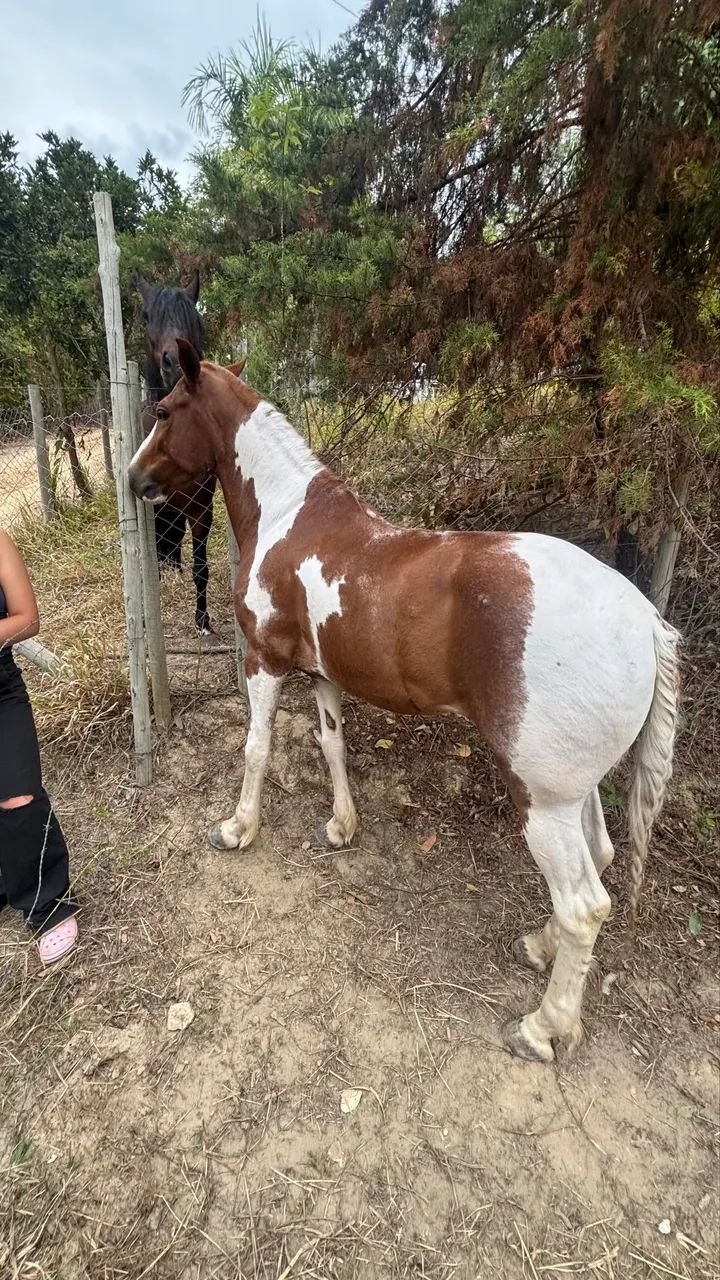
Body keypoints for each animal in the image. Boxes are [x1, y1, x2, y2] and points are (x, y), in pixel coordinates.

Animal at [128, 339, 681, 1064]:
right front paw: (340, 827)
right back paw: (540, 946)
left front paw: (237, 828)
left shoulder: (265, 663)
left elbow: (256, 748)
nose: (133, 479)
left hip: (543, 800)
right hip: (573, 789)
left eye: (165, 410)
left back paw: (541, 1027)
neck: (288, 516)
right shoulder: (323, 673)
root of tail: (646, 620)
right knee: (602, 862)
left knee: (584, 905)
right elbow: (331, 744)